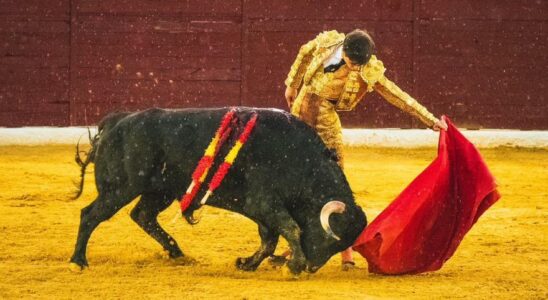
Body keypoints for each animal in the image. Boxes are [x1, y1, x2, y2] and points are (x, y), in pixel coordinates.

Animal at [69, 107, 368, 274]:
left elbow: (269, 240)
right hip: (120, 188)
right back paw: (78, 261)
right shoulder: (263, 203)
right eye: (329, 237)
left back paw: (177, 253)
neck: (300, 161)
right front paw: (292, 266)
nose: (311, 267)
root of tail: (116, 120)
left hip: (159, 191)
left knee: (142, 215)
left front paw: (247, 264)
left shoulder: (260, 210)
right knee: (89, 215)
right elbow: (290, 228)